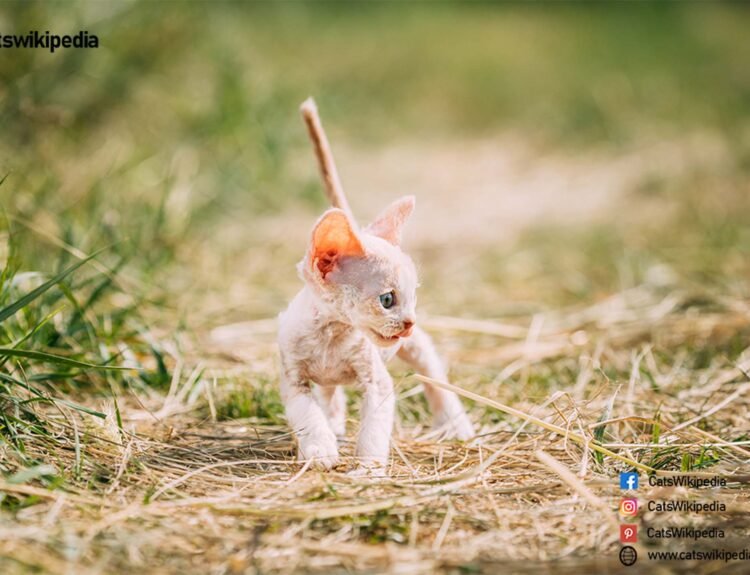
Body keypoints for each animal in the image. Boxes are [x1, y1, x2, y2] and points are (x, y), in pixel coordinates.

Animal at [280, 196, 472, 470]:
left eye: (413, 297)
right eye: (387, 299)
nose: (410, 323)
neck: (331, 336)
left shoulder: (377, 383)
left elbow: (374, 431)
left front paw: (367, 470)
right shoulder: (293, 379)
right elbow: (308, 413)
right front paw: (320, 448)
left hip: (416, 348)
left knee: (433, 374)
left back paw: (456, 425)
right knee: (329, 395)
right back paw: (334, 425)